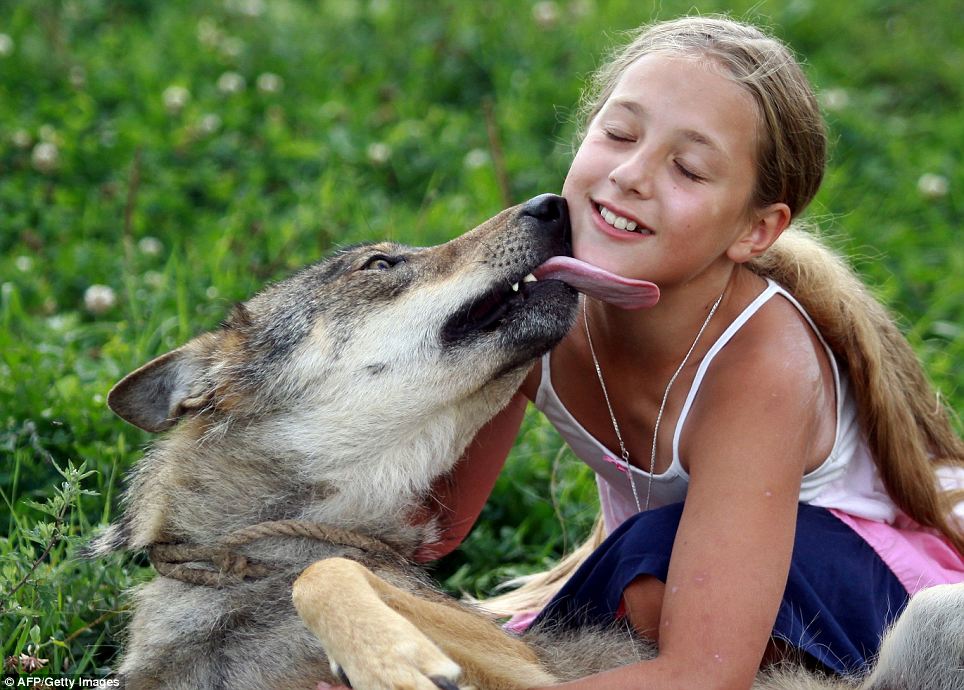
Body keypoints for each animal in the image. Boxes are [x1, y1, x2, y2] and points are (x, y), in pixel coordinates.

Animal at [86, 194, 960, 688]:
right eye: (381, 263)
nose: (552, 201)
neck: (246, 561)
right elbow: (328, 572)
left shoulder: (527, 671)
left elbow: (326, 573)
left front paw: (393, 658)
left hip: (933, 612)